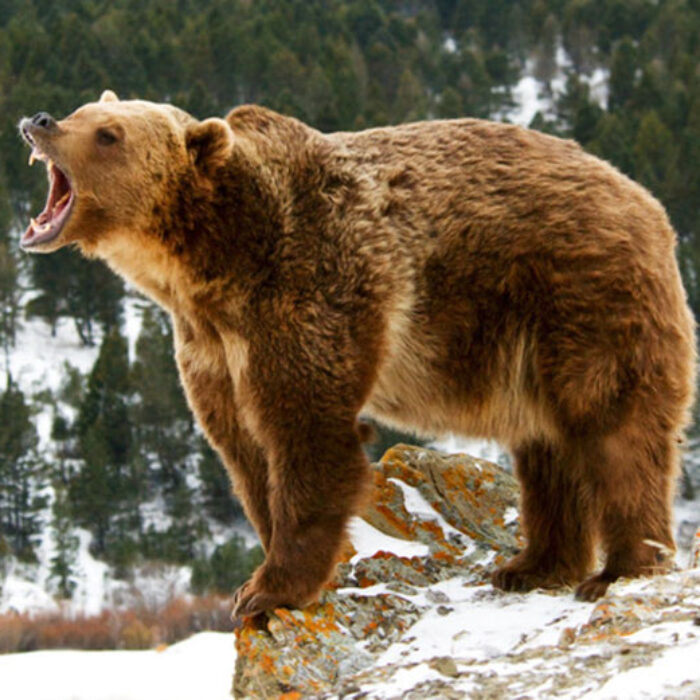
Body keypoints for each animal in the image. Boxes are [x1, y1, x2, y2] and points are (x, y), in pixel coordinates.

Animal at [19, 91, 696, 618]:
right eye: (85, 110)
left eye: (108, 134)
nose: (40, 119)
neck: (212, 265)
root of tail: (648, 203)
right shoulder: (210, 346)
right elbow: (244, 451)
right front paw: (265, 571)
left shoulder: (310, 287)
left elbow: (308, 434)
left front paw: (268, 590)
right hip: (528, 344)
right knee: (547, 447)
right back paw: (533, 565)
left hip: (582, 297)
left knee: (614, 430)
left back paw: (621, 568)